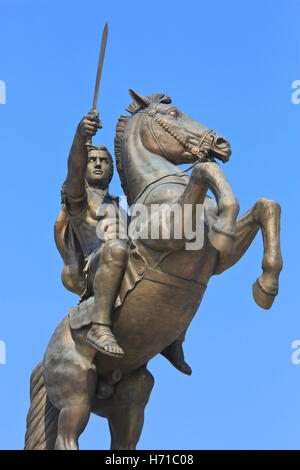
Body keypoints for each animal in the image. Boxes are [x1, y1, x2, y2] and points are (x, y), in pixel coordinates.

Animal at [24, 90, 282, 450]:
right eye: (172, 113)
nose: (222, 143)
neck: (161, 190)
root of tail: (45, 357)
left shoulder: (219, 260)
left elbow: (266, 206)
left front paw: (266, 285)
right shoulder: (171, 232)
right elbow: (205, 171)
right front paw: (227, 220)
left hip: (131, 397)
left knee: (123, 440)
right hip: (75, 393)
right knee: (66, 437)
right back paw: (105, 340)